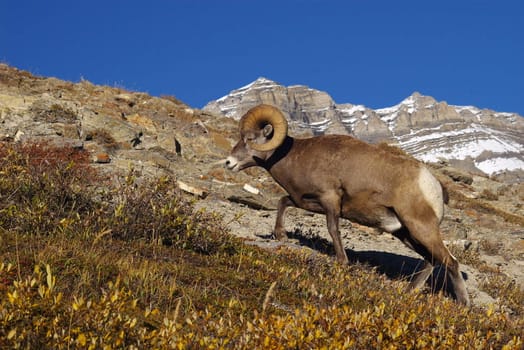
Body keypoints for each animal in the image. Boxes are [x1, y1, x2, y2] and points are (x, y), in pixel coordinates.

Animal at [225, 104, 470, 306]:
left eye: (250, 138)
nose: (228, 163)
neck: (296, 157)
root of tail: (434, 186)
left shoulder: (330, 200)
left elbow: (333, 229)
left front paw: (342, 261)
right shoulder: (309, 201)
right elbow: (283, 201)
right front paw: (281, 235)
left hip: (421, 228)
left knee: (451, 262)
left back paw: (463, 304)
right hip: (406, 233)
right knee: (432, 260)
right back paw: (410, 291)